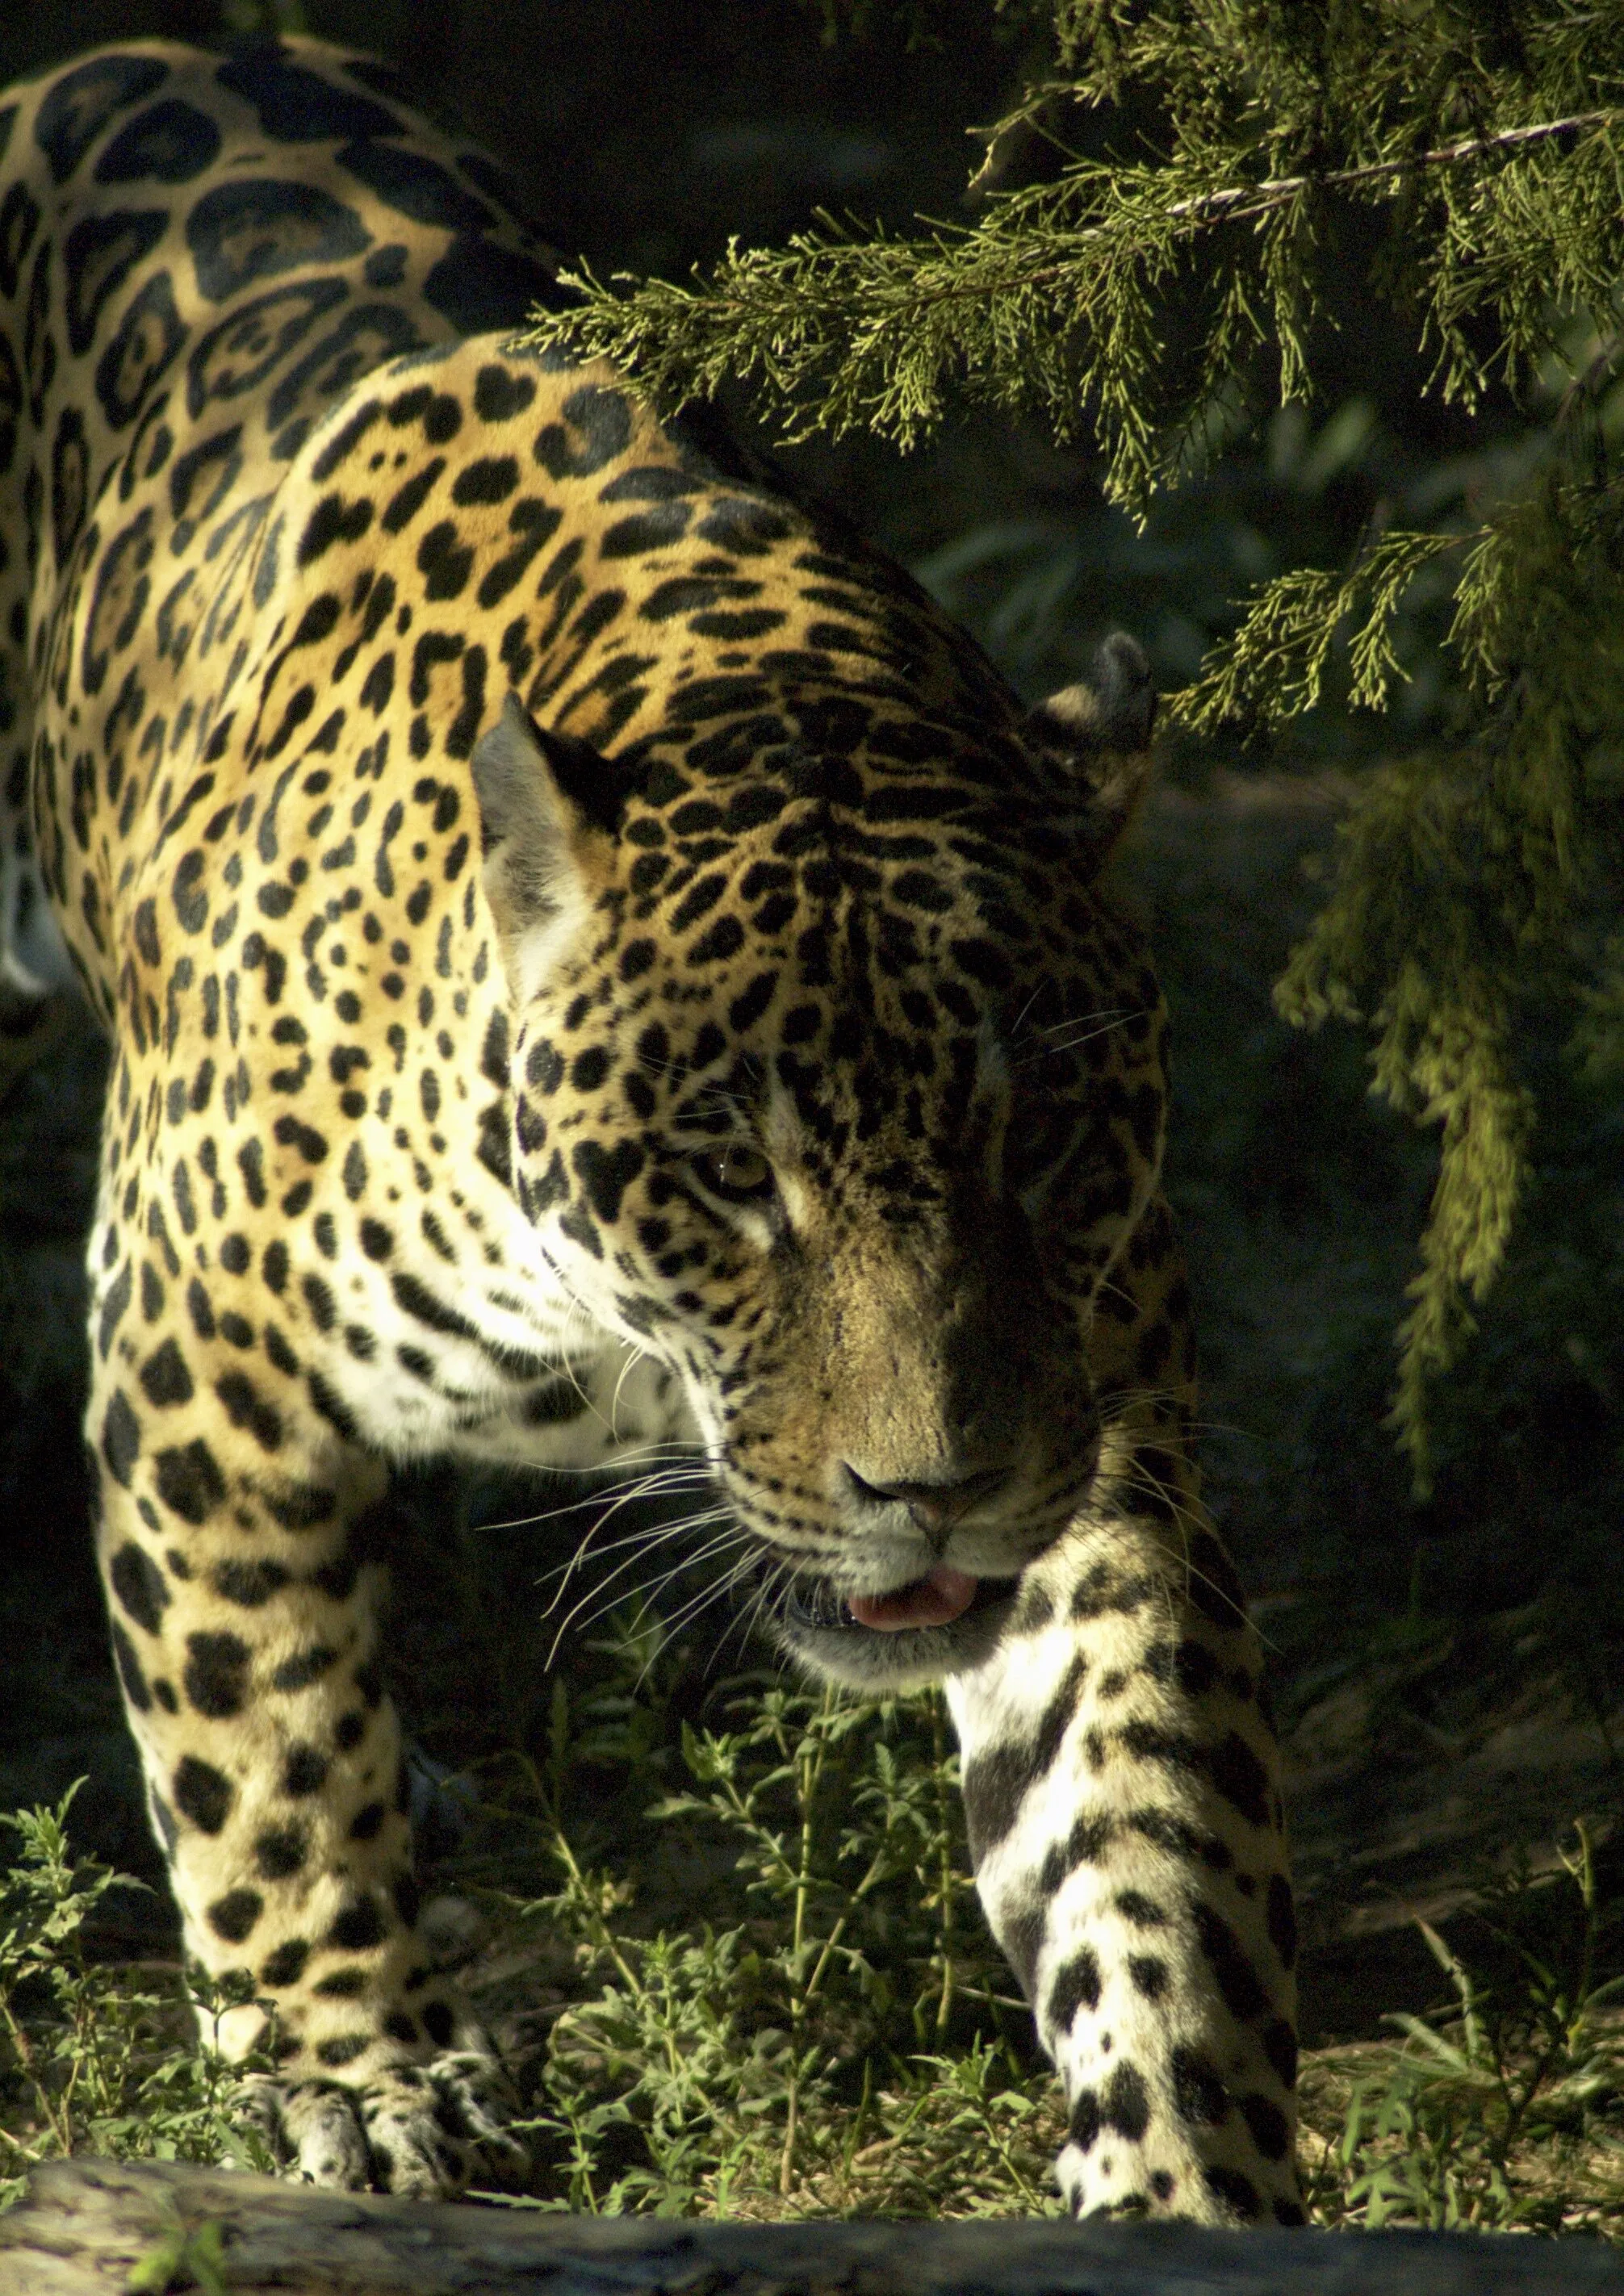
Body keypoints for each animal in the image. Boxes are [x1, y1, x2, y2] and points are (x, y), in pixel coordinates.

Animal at [0, 35, 1303, 2224]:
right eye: (729, 1179)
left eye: (1038, 1145)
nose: (929, 1490)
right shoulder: (201, 1330)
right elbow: (262, 1735)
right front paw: (356, 2068)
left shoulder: (1097, 1448)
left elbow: (1149, 1851)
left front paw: (1185, 2190)